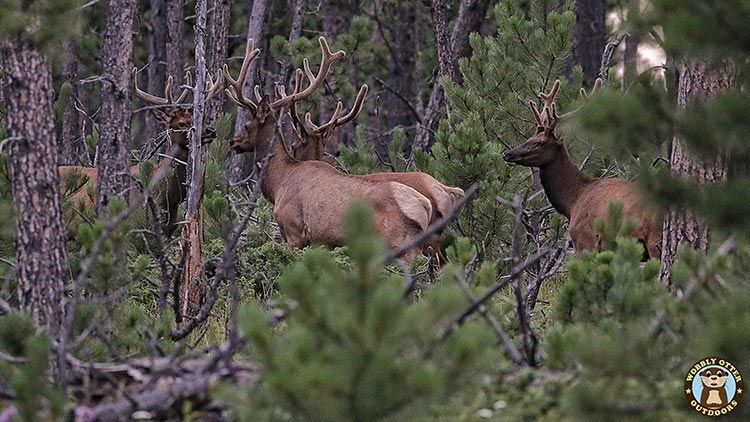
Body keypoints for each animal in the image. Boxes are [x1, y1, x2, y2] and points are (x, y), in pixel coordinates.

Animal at [225, 37, 434, 260]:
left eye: (247, 125)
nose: (233, 142)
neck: (278, 182)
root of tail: (424, 205)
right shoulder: (320, 241)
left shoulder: (293, 231)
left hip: (399, 243)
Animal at [502, 78, 660, 258]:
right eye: (529, 138)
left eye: (540, 142)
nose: (508, 154)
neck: (573, 201)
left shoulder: (584, 239)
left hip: (654, 240)